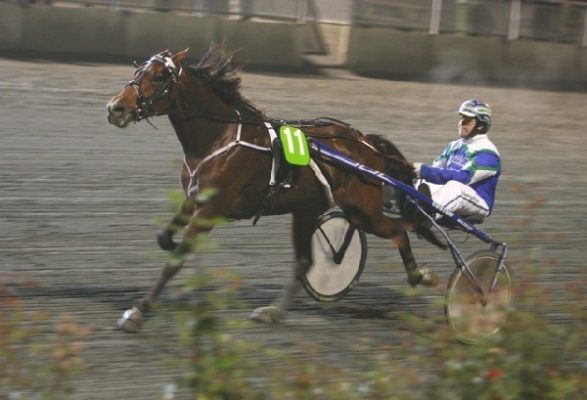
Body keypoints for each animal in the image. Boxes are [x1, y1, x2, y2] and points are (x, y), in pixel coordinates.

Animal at [106, 44, 443, 333]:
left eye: (159, 76)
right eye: (137, 70)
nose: (115, 108)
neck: (218, 136)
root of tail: (365, 142)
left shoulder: (212, 207)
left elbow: (174, 262)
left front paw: (137, 312)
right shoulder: (193, 198)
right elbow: (164, 237)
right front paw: (169, 247)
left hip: (362, 210)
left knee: (399, 231)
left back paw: (421, 276)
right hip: (308, 209)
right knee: (305, 261)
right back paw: (274, 311)